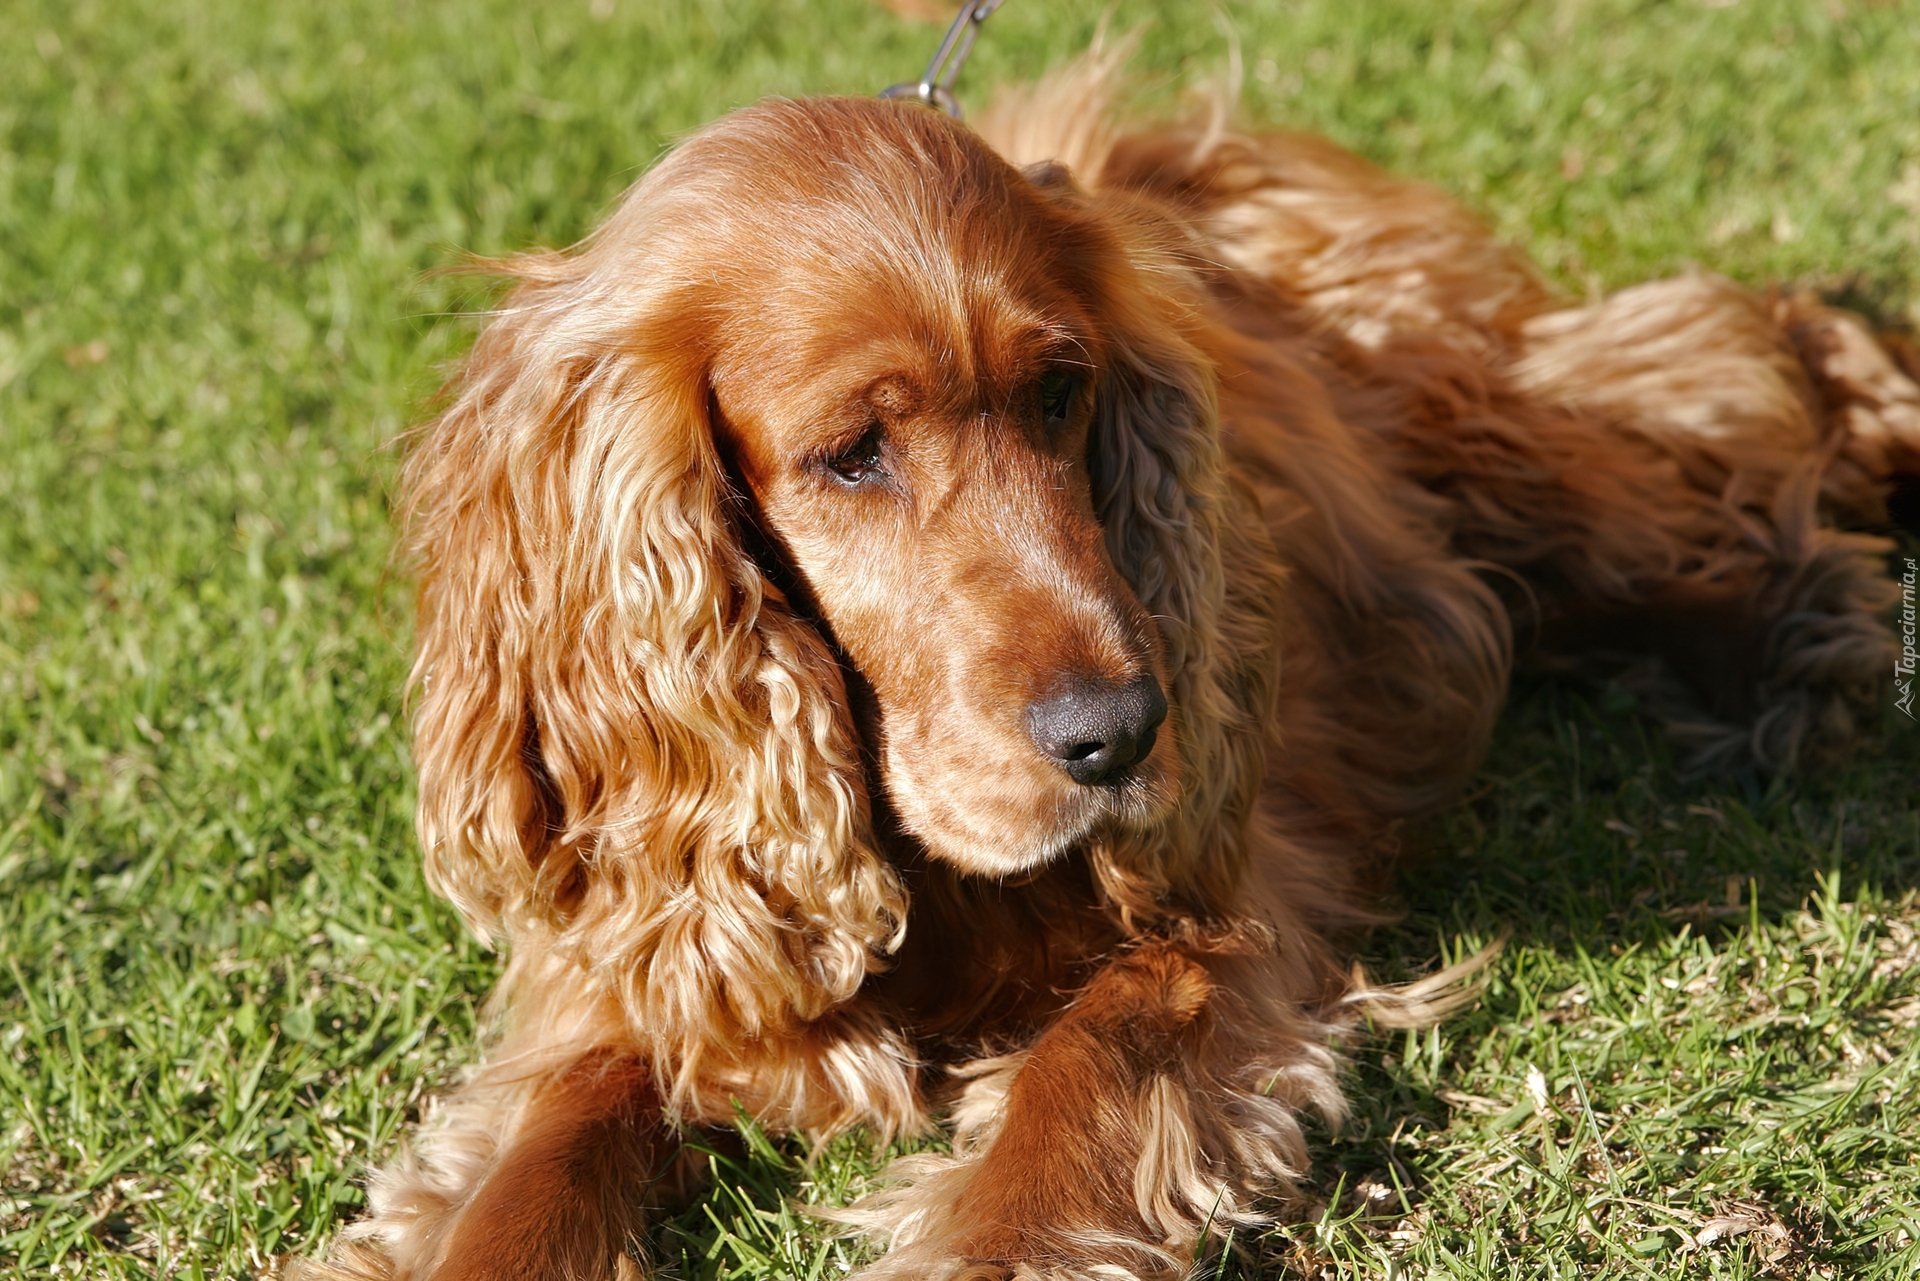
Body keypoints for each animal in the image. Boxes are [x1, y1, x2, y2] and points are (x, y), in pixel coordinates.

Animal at [303, 50, 1920, 1281]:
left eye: (1061, 393)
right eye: (851, 453)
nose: (1123, 734)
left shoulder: (1232, 901)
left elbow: (1080, 1077)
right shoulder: (643, 943)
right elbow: (535, 1163)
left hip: (1462, 422)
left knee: (1705, 381)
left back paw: (1793, 633)